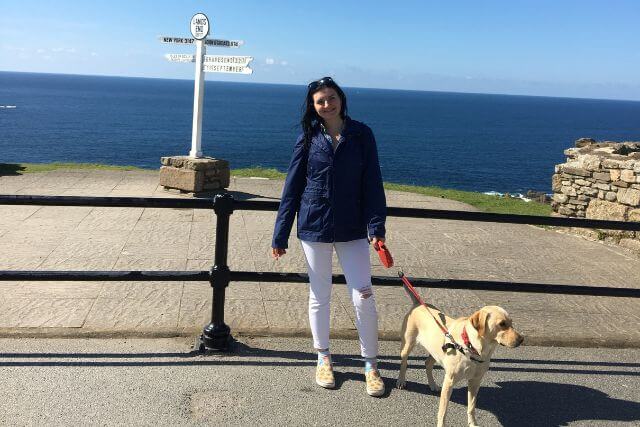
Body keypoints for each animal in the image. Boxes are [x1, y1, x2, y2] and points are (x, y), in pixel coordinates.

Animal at [396, 304, 524, 427]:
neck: (473, 349)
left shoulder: (475, 381)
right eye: (502, 324)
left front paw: (472, 424)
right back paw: (401, 381)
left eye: (511, 322)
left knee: (427, 363)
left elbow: (471, 407)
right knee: (404, 362)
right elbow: (443, 411)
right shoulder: (449, 381)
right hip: (407, 345)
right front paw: (441, 424)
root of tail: (418, 304)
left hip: (436, 352)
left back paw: (432, 384)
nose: (522, 339)